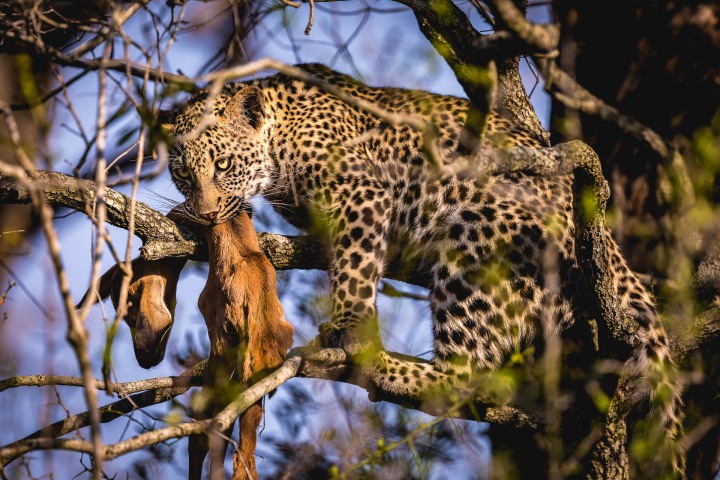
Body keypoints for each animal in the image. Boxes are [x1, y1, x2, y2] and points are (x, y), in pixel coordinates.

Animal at [163, 63, 683, 476]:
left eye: (223, 163)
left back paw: (381, 365)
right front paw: (182, 214)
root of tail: (609, 248)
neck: (280, 138)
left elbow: (354, 266)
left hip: (481, 242)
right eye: (184, 174)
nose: (207, 214)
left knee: (468, 375)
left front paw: (350, 324)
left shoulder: (361, 191)